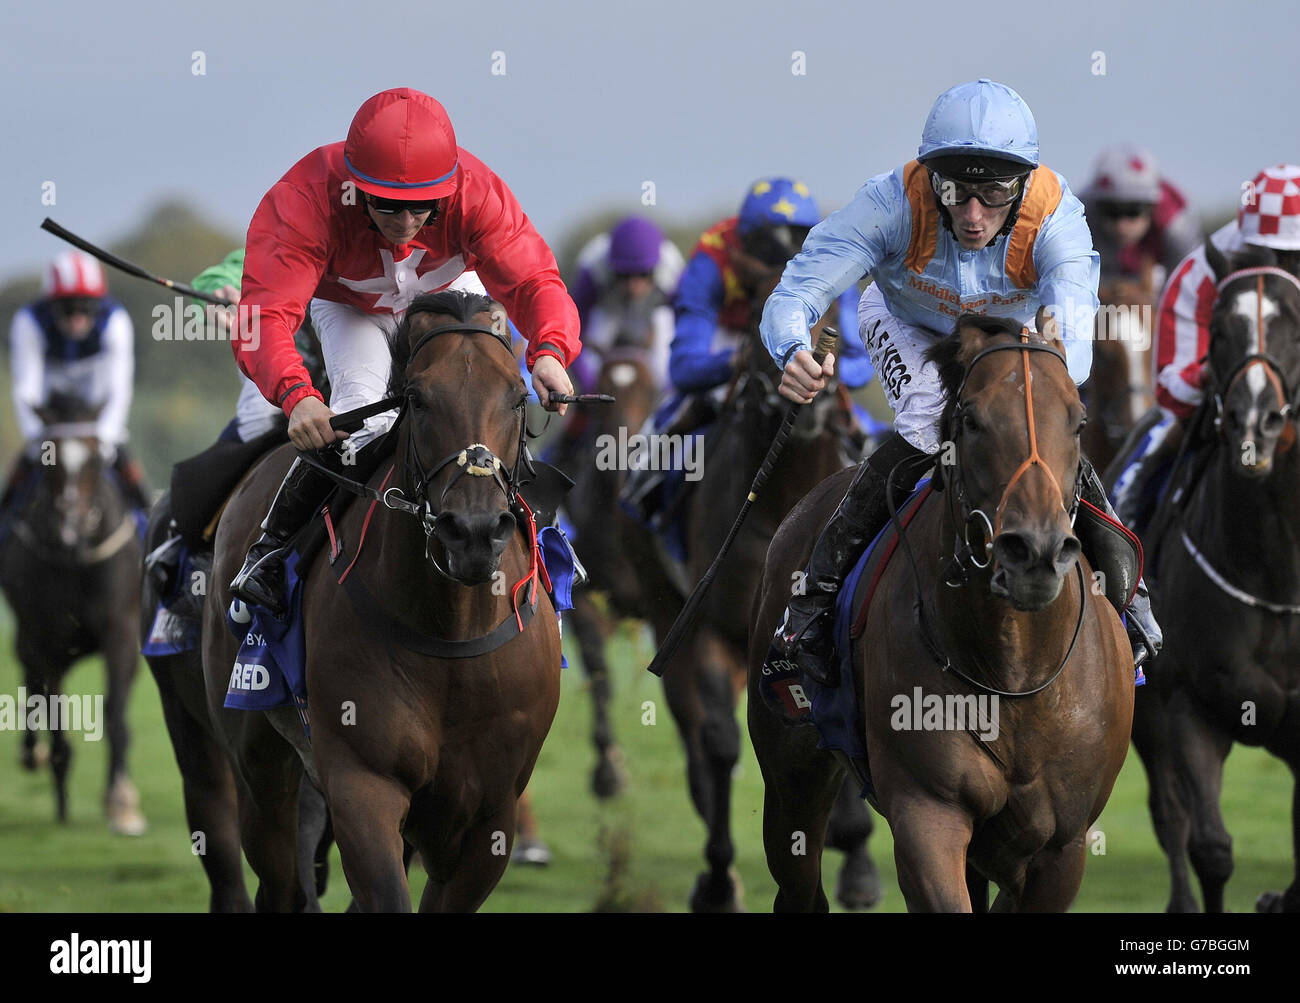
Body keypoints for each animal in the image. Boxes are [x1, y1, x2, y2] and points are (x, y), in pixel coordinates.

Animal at [0, 394, 146, 836]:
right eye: (46, 461)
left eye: (96, 460)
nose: (71, 527)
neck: (74, 558)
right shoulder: (43, 640)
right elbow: (53, 712)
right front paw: (59, 777)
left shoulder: (121, 632)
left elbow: (114, 712)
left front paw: (120, 804)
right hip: (30, 641)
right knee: (34, 691)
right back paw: (36, 756)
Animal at [201, 288, 559, 909]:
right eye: (416, 399)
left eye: (518, 397)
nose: (471, 532)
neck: (452, 629)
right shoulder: (362, 785)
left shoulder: (489, 814)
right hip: (258, 764)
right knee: (279, 875)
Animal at [748, 317, 1133, 914]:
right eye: (972, 420)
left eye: (1078, 421)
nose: (1036, 552)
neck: (1015, 670)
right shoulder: (927, 813)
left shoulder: (1061, 847)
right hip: (791, 769)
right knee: (798, 882)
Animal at [1128, 240, 1300, 909]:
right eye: (1220, 330)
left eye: (1297, 325)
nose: (1255, 423)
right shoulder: (1188, 706)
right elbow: (1210, 848)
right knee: (1168, 813)